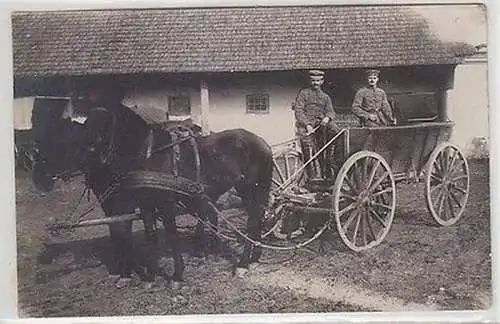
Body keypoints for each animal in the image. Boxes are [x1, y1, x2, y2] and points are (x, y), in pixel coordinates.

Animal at [31, 97, 274, 288]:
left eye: (103, 128)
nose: (40, 180)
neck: (147, 156)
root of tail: (261, 141)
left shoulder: (160, 204)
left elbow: (168, 235)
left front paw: (175, 276)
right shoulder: (143, 204)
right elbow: (148, 236)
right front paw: (149, 274)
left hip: (251, 189)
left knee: (252, 219)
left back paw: (242, 264)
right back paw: (252, 255)